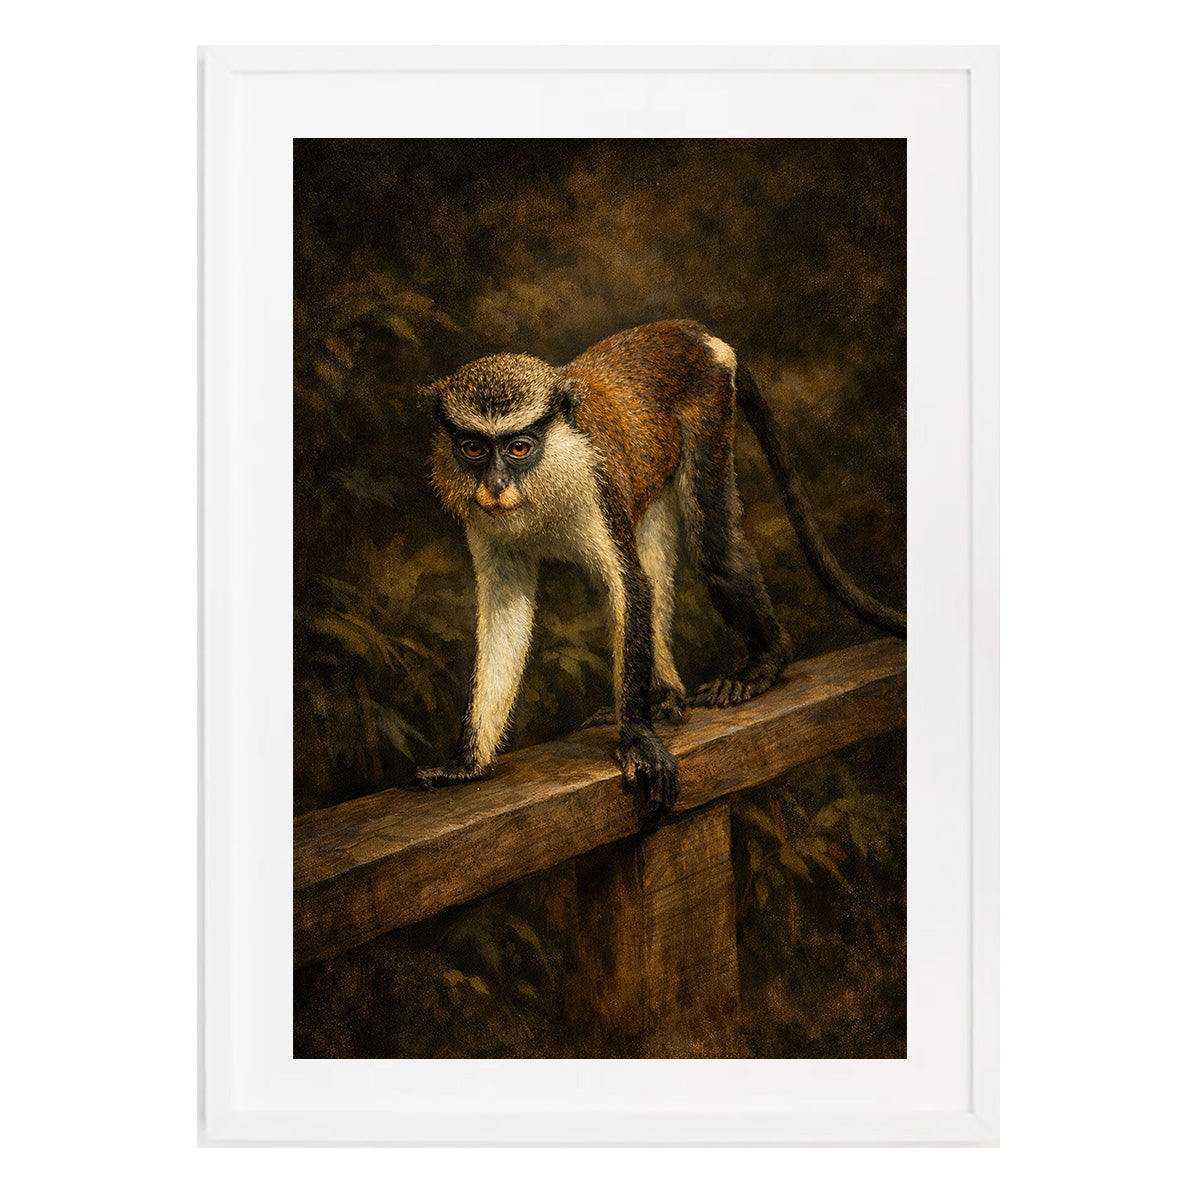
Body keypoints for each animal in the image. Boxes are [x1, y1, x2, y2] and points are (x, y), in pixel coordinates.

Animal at [414, 320, 905, 824]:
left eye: (517, 447)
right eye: (473, 448)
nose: (494, 486)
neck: (547, 478)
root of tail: (691, 332)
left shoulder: (597, 485)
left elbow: (630, 587)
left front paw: (638, 741)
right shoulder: (485, 524)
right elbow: (505, 615)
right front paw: (467, 764)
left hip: (710, 406)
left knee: (714, 547)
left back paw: (763, 663)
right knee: (655, 556)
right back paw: (665, 694)